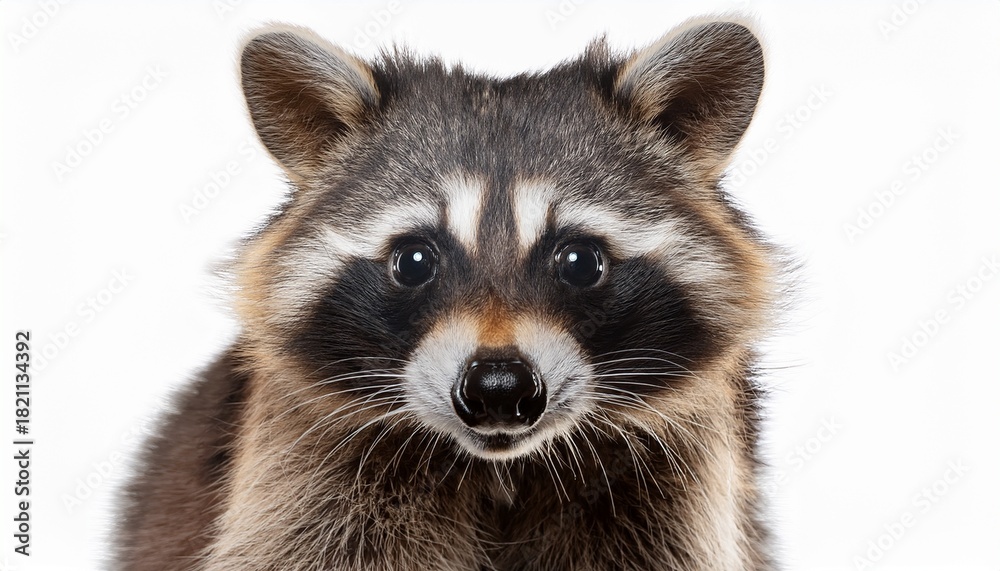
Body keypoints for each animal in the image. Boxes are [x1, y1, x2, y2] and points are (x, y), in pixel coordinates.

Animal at [117, 17, 778, 571]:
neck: (502, 470)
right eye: (414, 262)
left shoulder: (671, 497)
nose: (498, 387)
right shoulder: (306, 484)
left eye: (581, 262)